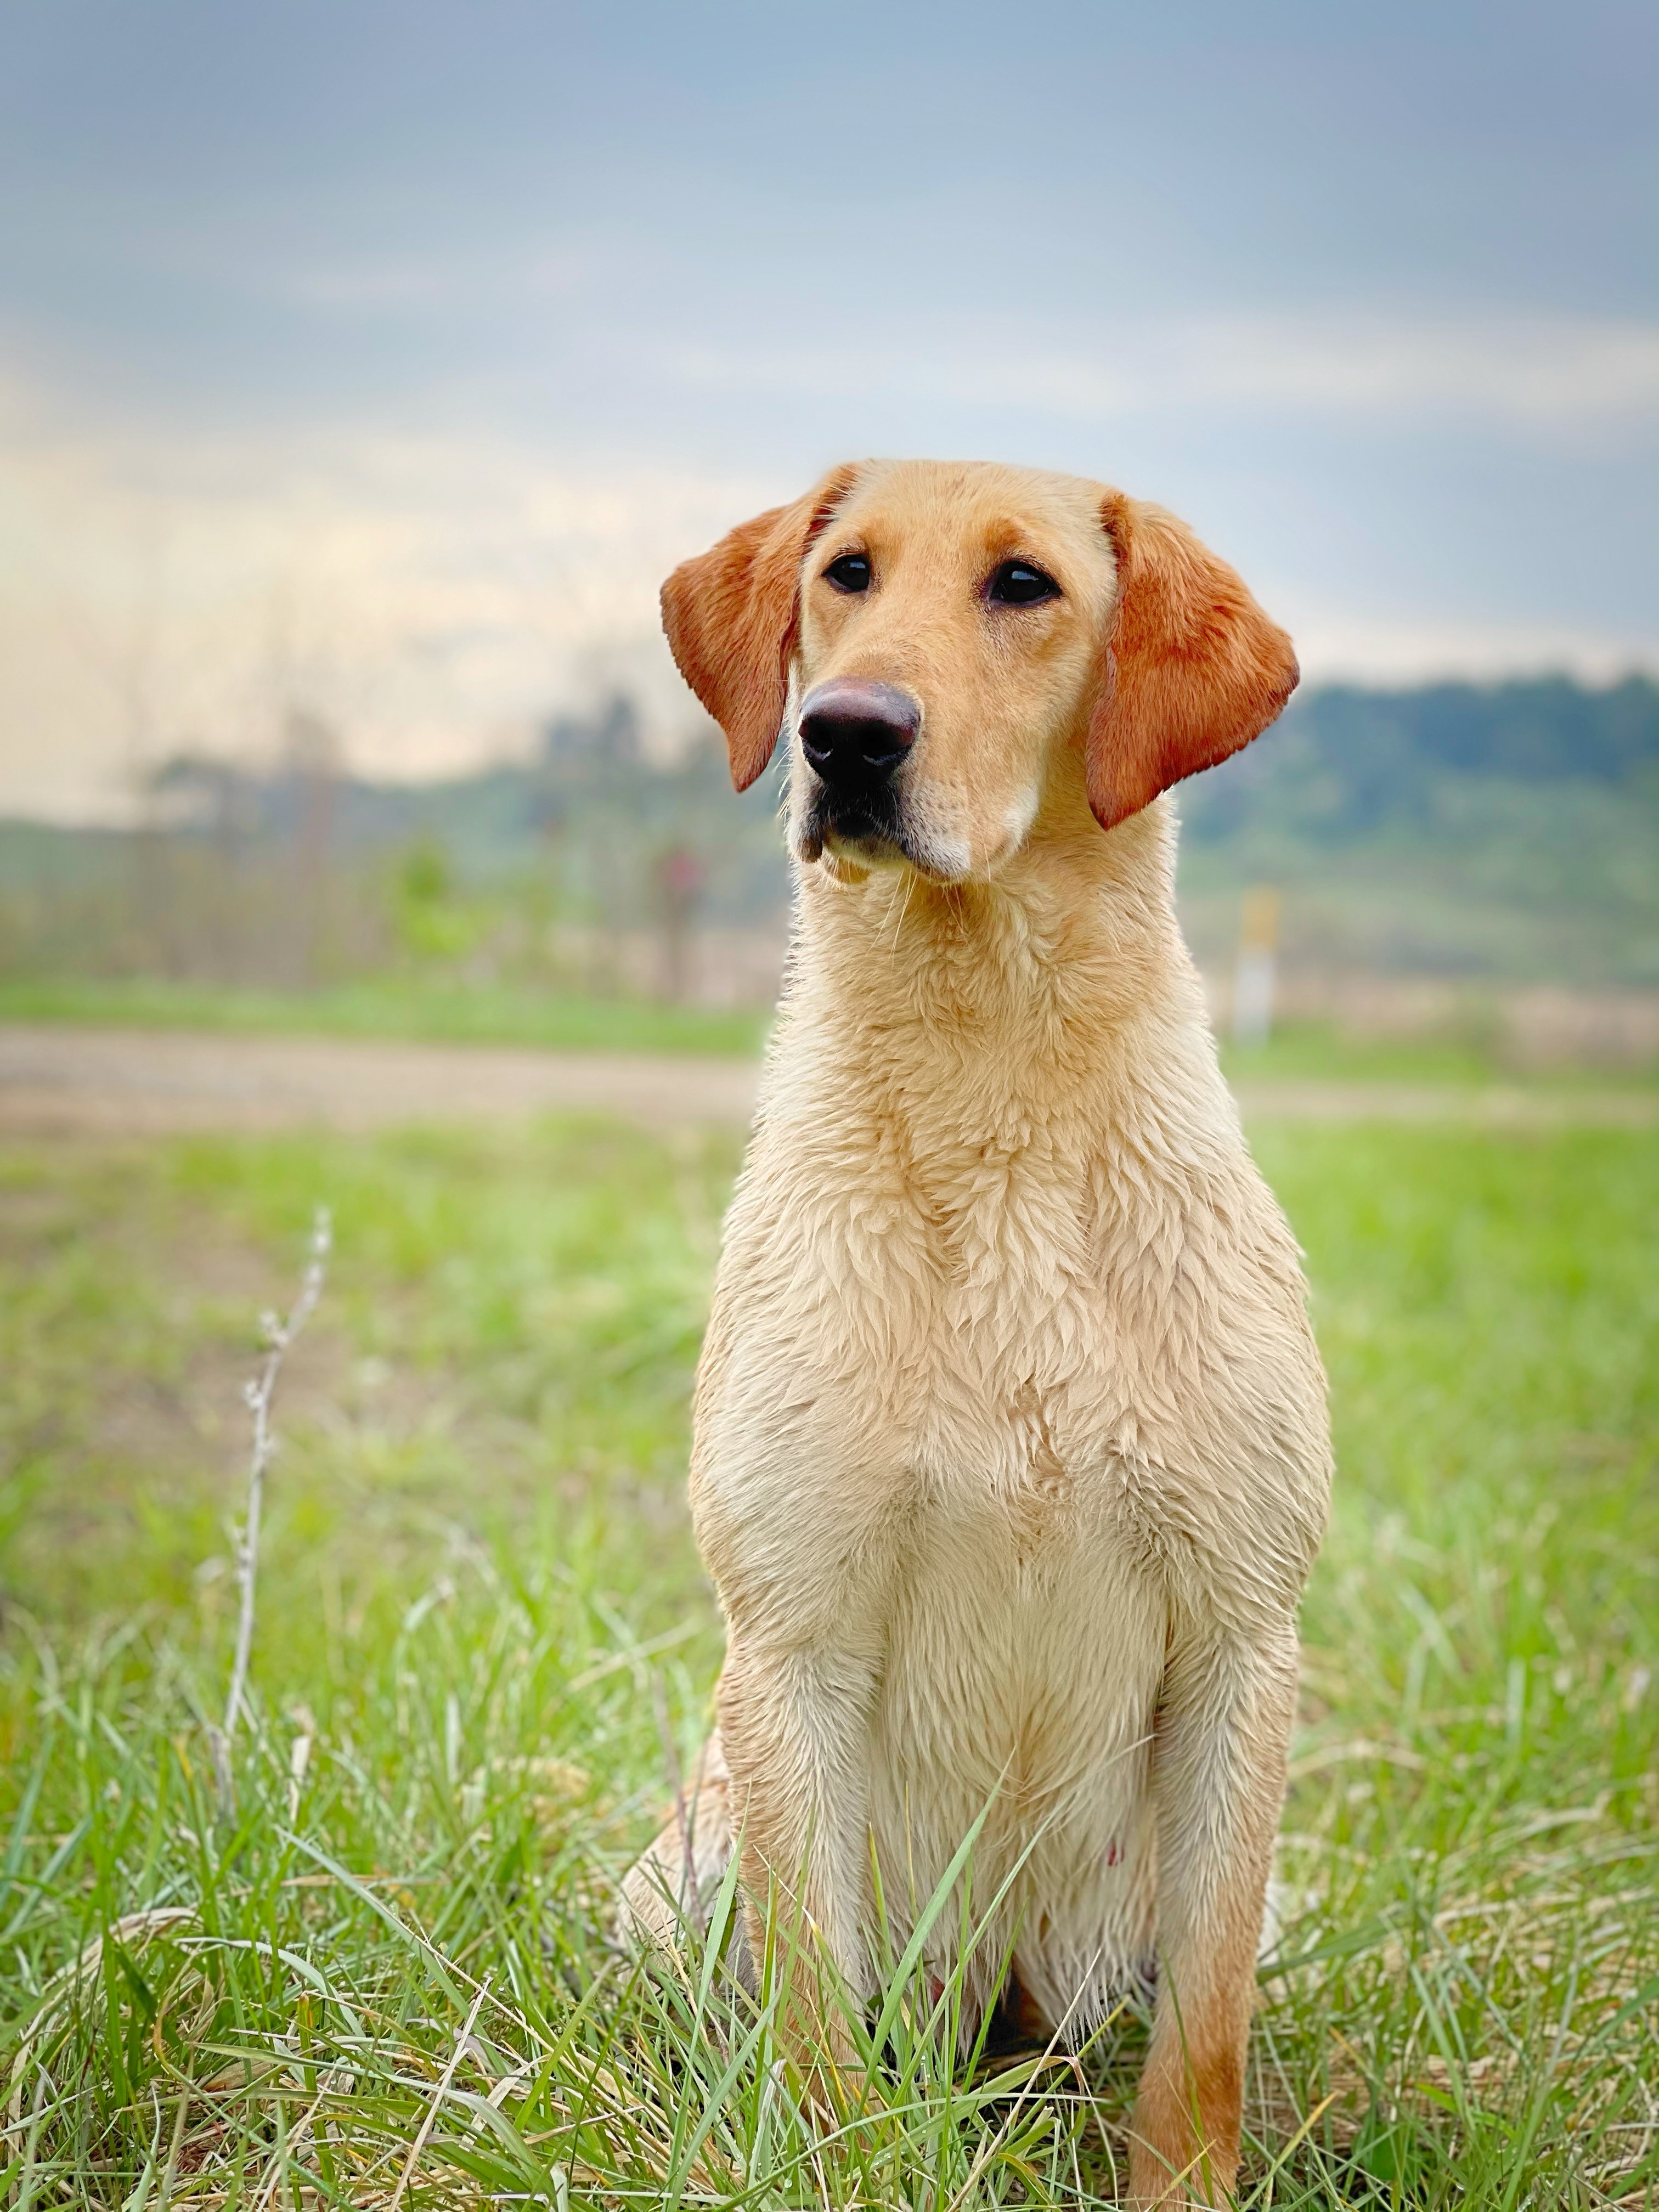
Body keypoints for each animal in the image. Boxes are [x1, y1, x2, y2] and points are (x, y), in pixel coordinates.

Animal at [624, 458, 1336, 2203]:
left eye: (1026, 586)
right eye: (846, 576)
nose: (846, 737)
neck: (997, 1093)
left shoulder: (1244, 1643)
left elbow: (1200, 2042)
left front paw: (1184, 2184)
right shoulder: (791, 1643)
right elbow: (815, 2019)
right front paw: (829, 2165)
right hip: (680, 1867)